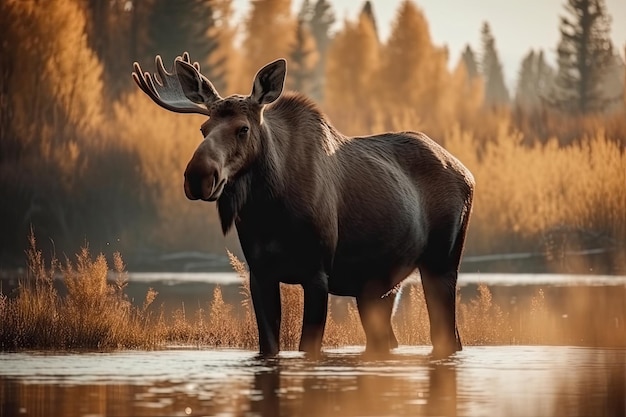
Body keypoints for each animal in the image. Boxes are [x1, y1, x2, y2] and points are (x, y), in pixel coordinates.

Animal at [133, 52, 472, 358]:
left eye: (243, 128)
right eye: (203, 129)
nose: (198, 176)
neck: (269, 212)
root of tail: (467, 173)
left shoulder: (317, 272)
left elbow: (308, 346)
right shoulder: (260, 272)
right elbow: (269, 347)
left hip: (442, 263)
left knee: (448, 336)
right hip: (379, 287)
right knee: (388, 340)